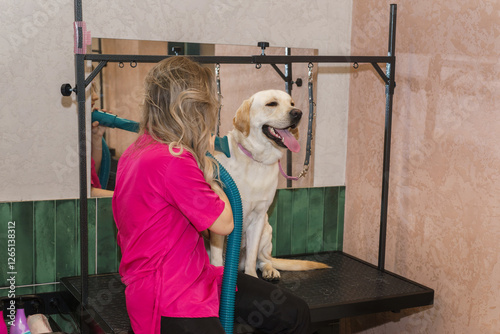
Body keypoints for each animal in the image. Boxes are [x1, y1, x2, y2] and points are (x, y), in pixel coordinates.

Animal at [210, 90, 328, 280]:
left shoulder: (258, 217)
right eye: (272, 104)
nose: (298, 113)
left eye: (292, 103)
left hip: (267, 230)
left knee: (264, 260)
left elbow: (252, 258)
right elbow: (215, 258)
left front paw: (251, 275)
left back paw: (269, 270)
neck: (256, 160)